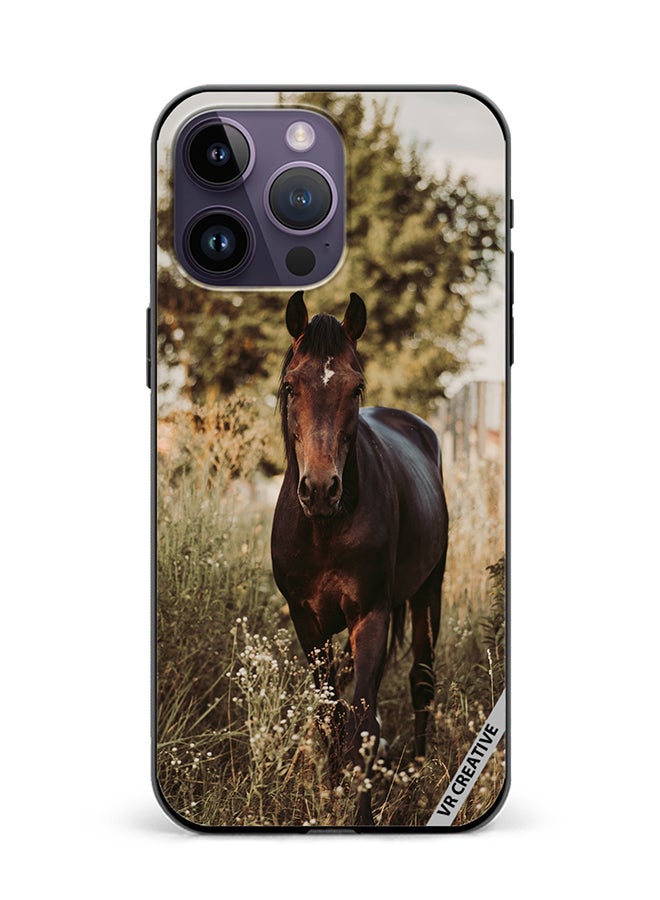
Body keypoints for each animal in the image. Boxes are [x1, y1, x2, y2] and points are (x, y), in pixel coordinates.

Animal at [271, 291, 448, 826]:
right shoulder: (307, 622)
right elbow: (329, 717)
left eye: (356, 388)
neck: (325, 528)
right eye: (290, 386)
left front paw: (362, 815)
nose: (320, 489)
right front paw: (330, 795)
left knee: (421, 682)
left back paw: (417, 776)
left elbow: (364, 724)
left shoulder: (370, 615)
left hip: (428, 592)